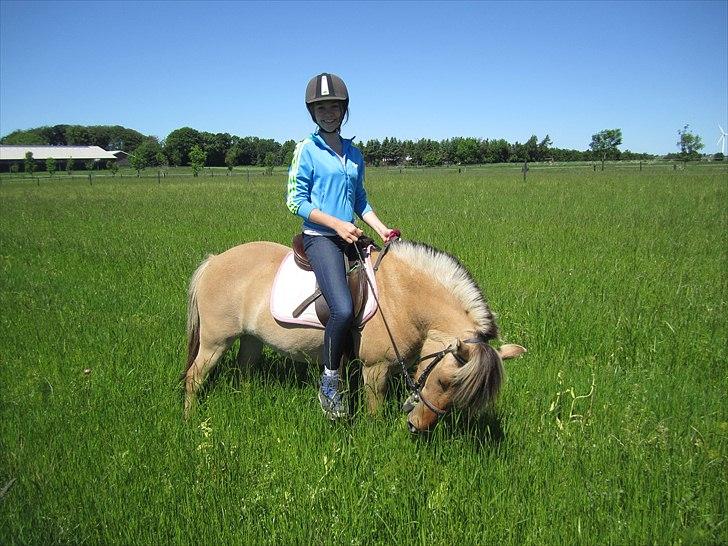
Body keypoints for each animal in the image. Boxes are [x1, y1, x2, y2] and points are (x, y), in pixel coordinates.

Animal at [181, 240, 524, 432]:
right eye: (442, 382)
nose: (417, 427)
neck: (401, 297)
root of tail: (213, 261)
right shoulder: (375, 368)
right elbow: (374, 411)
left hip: (250, 339)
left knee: (245, 371)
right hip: (214, 342)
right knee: (194, 377)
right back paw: (189, 419)